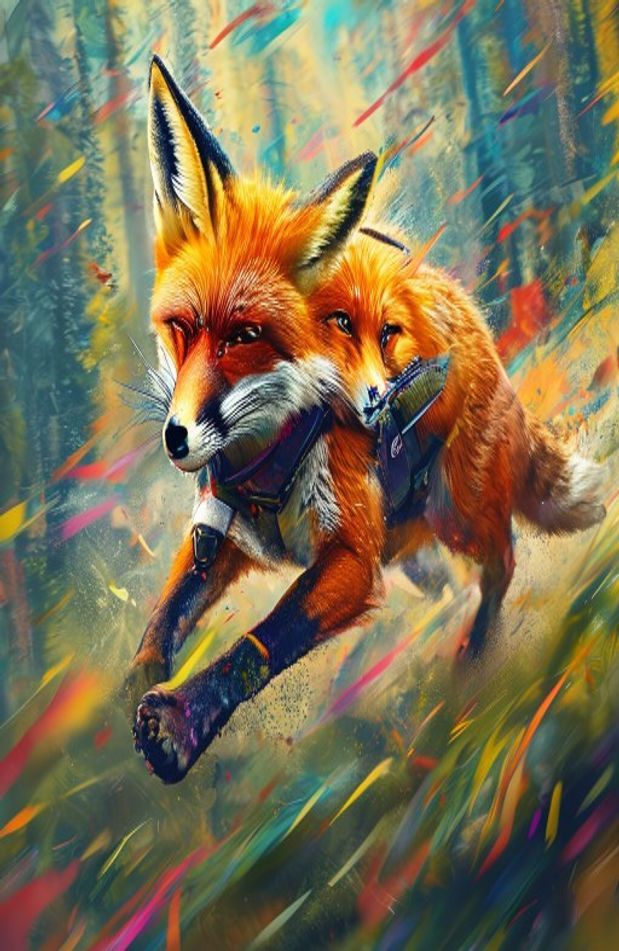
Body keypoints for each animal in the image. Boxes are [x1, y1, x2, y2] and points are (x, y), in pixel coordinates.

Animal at [127, 56, 605, 784]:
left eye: (245, 336)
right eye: (181, 328)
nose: (177, 438)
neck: (266, 460)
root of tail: (476, 323)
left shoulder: (352, 557)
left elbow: (259, 643)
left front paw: (182, 720)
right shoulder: (220, 535)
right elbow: (167, 613)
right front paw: (135, 683)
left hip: (458, 511)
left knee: (501, 559)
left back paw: (475, 656)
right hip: (416, 544)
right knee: (448, 577)